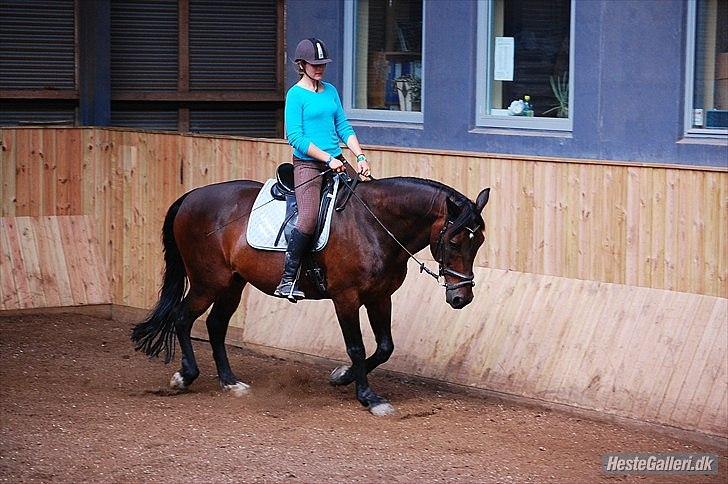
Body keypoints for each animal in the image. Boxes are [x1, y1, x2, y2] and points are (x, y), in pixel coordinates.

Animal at [134, 174, 492, 416]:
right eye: (455, 242)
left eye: (479, 243)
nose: (462, 298)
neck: (374, 225)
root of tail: (191, 197)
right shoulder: (346, 298)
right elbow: (357, 347)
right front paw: (368, 397)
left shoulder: (380, 297)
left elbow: (385, 347)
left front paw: (342, 377)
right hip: (208, 281)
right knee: (183, 317)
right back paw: (185, 376)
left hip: (232, 284)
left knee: (216, 326)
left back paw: (230, 382)